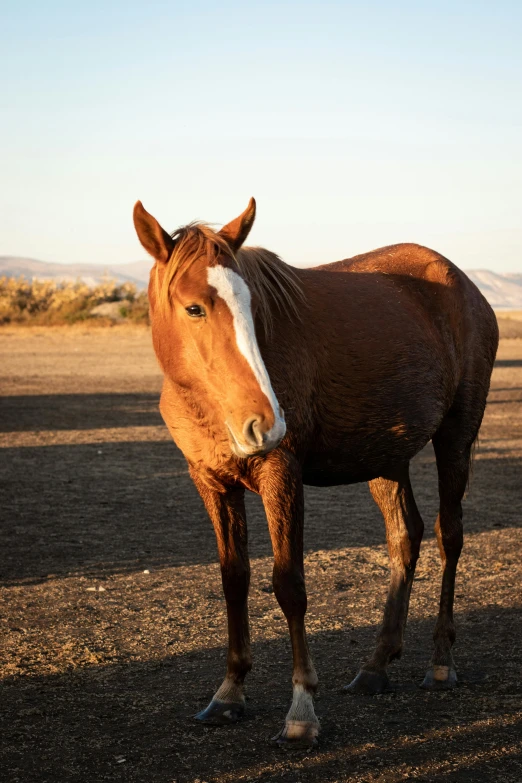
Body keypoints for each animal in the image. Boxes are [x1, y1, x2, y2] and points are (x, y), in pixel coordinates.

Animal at [133, 198, 496, 748]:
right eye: (195, 307)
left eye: (253, 307)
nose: (265, 422)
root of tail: (465, 285)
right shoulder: (212, 483)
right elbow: (233, 579)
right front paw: (229, 692)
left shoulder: (281, 477)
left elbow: (289, 585)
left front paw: (302, 709)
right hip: (384, 457)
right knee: (404, 536)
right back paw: (375, 666)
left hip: (456, 436)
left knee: (448, 535)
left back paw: (440, 662)